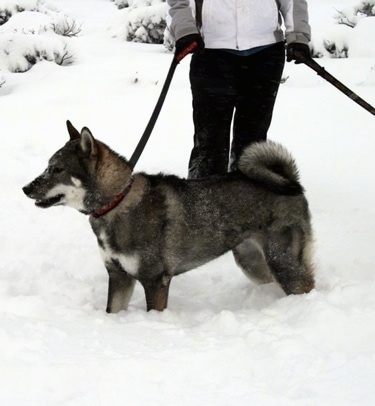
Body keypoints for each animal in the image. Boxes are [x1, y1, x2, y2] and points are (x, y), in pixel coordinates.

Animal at [23, 122, 316, 312]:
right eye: (48, 166)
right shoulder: (119, 277)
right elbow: (112, 310)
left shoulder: (155, 281)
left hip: (282, 261)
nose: (26, 188)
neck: (118, 201)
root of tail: (290, 180)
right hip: (252, 262)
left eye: (57, 169)